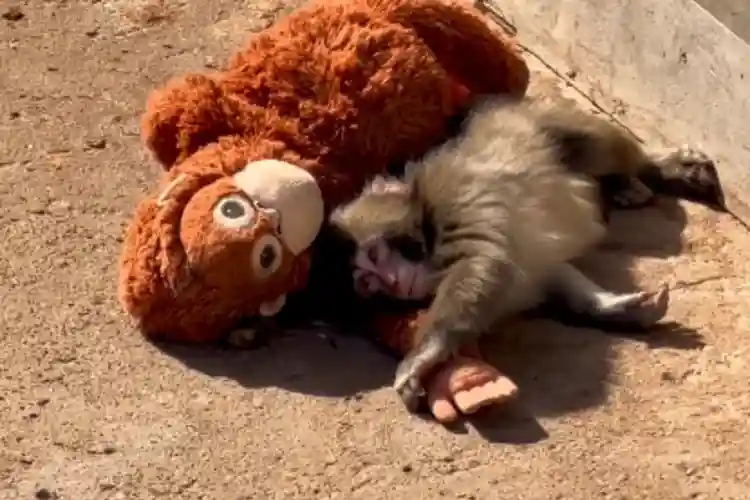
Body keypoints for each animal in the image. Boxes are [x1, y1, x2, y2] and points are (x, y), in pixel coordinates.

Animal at [329, 95, 721, 412]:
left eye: (375, 258)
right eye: (369, 284)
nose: (393, 282)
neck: (426, 224)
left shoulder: (456, 208)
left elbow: (486, 265)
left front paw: (423, 356)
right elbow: (542, 272)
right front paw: (614, 308)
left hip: (541, 118)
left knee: (599, 146)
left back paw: (654, 169)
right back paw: (626, 186)